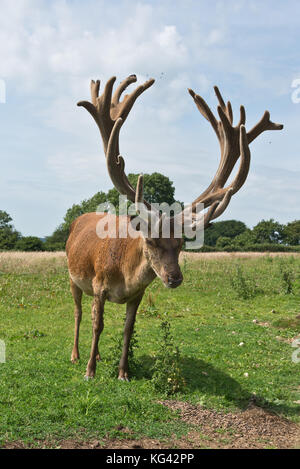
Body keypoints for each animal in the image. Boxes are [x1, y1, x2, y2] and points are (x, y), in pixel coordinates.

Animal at [66, 74, 284, 380]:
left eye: (181, 243)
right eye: (151, 241)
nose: (174, 278)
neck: (125, 276)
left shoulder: (137, 295)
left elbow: (128, 329)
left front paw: (123, 372)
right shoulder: (98, 285)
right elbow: (98, 325)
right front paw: (90, 372)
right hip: (72, 277)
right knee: (78, 313)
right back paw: (76, 355)